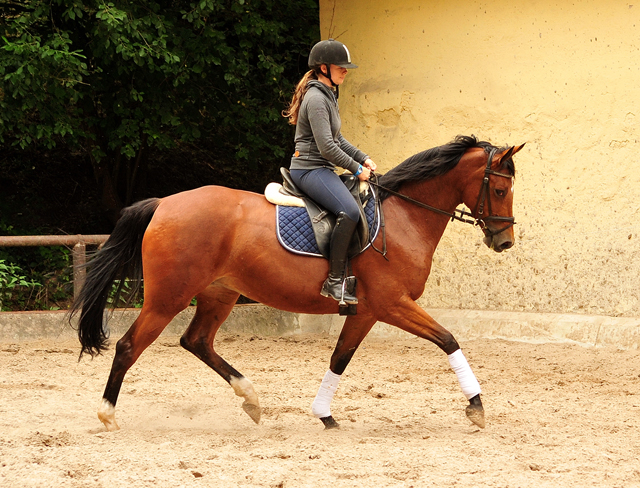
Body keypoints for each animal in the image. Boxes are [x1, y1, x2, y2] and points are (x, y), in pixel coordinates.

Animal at [70, 133, 524, 430]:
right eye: (501, 189)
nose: (504, 241)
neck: (403, 218)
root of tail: (164, 203)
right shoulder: (393, 304)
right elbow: (448, 339)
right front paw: (477, 407)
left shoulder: (366, 311)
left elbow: (339, 358)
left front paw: (325, 415)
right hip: (168, 297)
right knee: (130, 346)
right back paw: (108, 415)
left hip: (220, 293)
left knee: (196, 341)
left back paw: (251, 399)